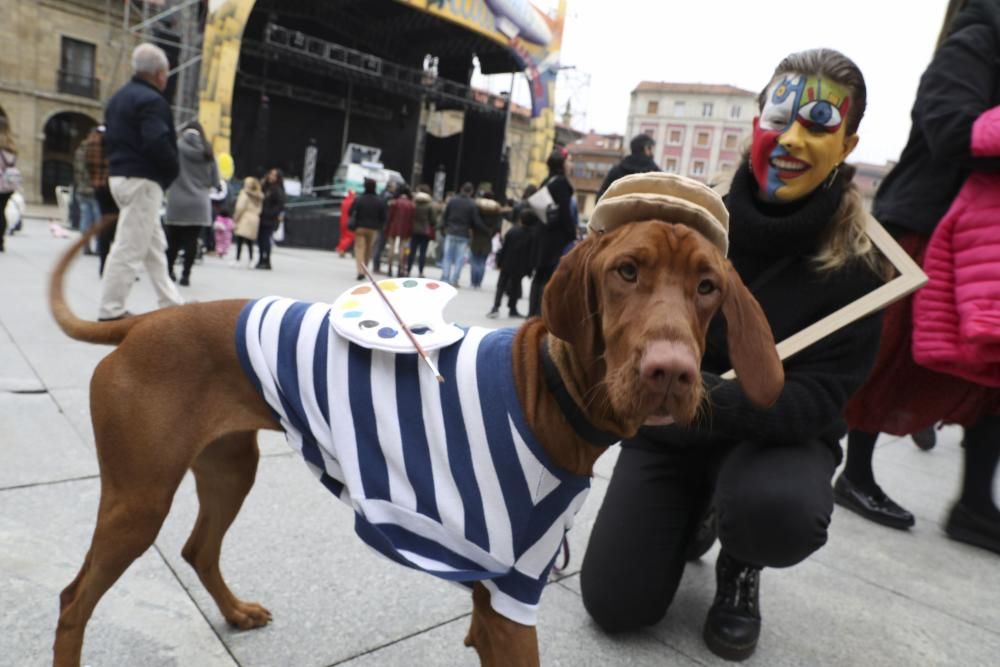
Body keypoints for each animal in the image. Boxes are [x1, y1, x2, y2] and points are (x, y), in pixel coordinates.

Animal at [48, 214, 780, 667]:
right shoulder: (511, 599)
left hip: (230, 470)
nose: (671, 372)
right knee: (74, 598)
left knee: (198, 549)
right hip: (139, 498)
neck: (550, 390)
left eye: (708, 285)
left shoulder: (494, 602)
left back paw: (233, 612)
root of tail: (138, 323)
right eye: (626, 270)